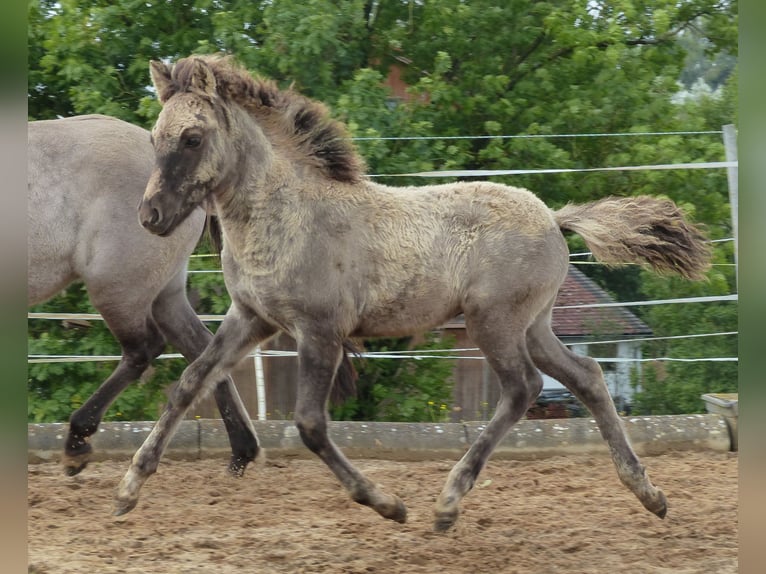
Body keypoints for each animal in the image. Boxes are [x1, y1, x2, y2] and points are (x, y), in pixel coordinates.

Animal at [28, 115, 260, 480]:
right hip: (165, 293)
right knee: (204, 350)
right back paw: (242, 451)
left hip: (116, 288)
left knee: (142, 351)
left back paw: (77, 443)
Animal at [115, 56, 712, 532]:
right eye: (154, 138)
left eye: (192, 138)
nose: (151, 216)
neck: (285, 214)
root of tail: (553, 216)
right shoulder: (252, 319)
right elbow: (189, 383)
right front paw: (127, 489)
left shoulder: (320, 331)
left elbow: (310, 424)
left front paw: (387, 504)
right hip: (534, 325)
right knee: (586, 376)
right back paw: (648, 494)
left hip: (493, 322)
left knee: (523, 388)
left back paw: (448, 504)